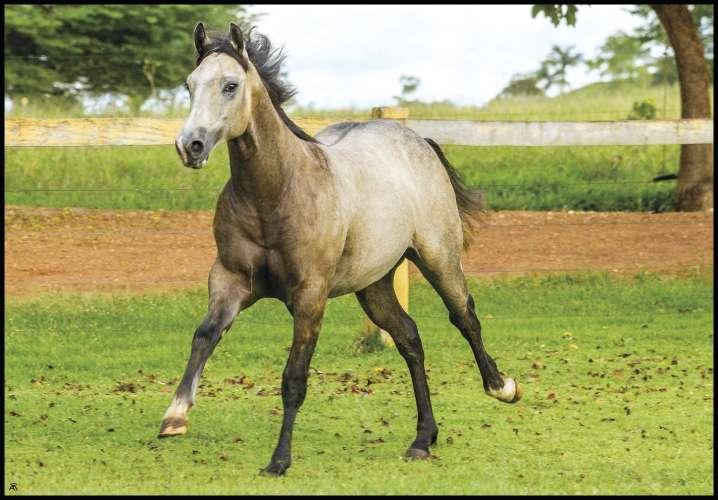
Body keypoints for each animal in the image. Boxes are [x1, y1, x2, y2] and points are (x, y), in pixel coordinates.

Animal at [162, 22, 524, 476]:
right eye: (189, 85)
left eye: (230, 85)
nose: (189, 146)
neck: (276, 193)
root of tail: (418, 140)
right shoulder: (229, 281)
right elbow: (205, 335)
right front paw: (175, 416)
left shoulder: (310, 296)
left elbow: (294, 378)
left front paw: (279, 460)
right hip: (374, 284)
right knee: (409, 338)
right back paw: (423, 438)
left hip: (439, 258)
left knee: (465, 317)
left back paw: (502, 387)